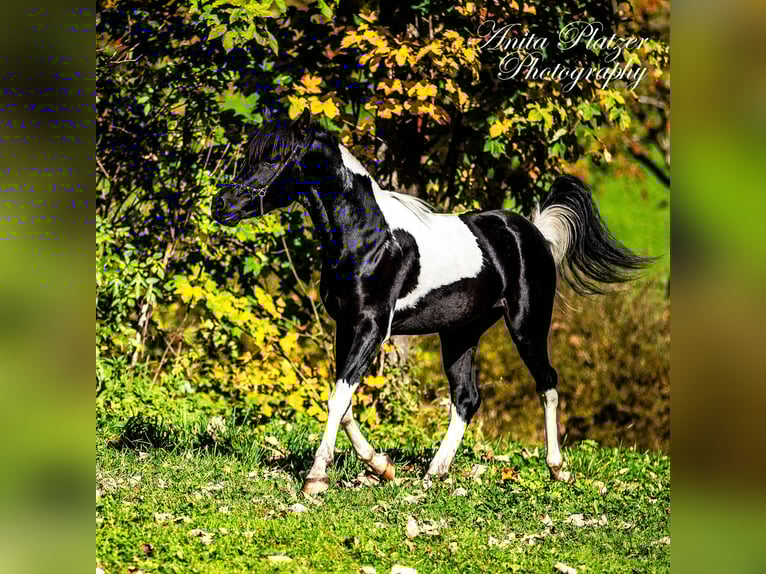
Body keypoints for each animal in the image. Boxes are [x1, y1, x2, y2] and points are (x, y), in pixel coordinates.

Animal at [211, 108, 652, 494]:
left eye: (274, 157)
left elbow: (339, 398)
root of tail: (534, 233)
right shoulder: (346, 325)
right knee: (467, 399)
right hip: (459, 333)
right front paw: (381, 466)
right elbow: (344, 398)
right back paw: (434, 472)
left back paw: (557, 469)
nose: (222, 205)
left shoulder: (372, 326)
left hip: (527, 326)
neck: (368, 239)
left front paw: (317, 478)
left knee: (548, 385)